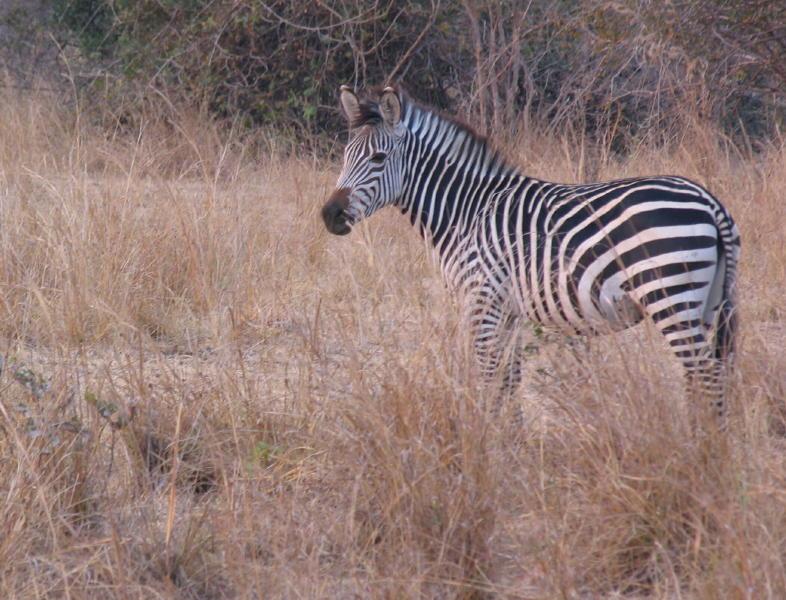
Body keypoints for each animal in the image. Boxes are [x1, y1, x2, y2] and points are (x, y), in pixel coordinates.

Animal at [318, 85, 736, 422]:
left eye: (378, 159)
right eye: (345, 155)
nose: (330, 215)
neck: (466, 211)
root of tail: (709, 200)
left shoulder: (482, 303)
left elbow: (491, 380)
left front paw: (489, 449)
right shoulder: (508, 312)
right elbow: (510, 380)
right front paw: (512, 445)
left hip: (671, 296)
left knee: (706, 376)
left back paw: (702, 450)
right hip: (707, 302)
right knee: (708, 376)